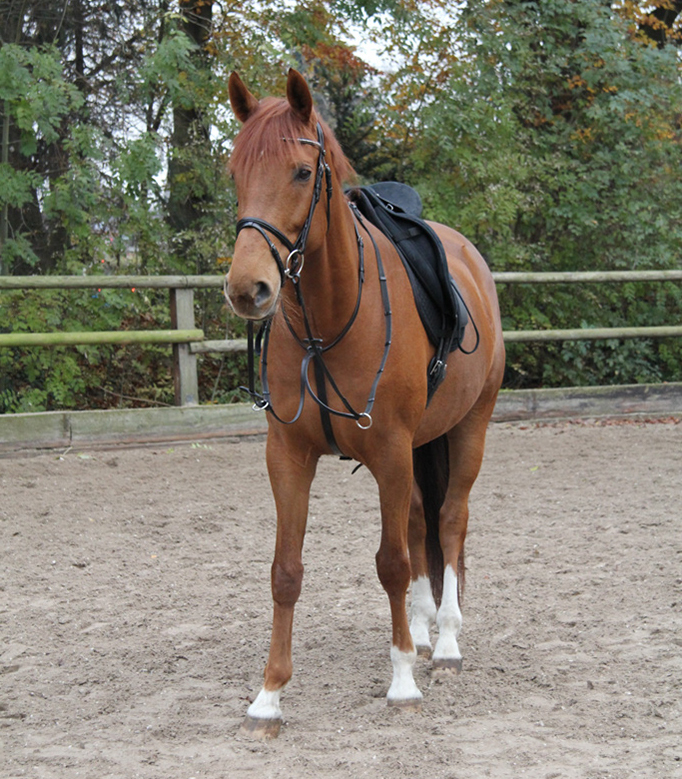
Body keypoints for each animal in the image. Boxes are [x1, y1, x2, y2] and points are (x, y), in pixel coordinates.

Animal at [224, 69, 505, 739]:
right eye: (235, 173)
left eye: (302, 173)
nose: (248, 289)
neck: (327, 321)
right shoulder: (289, 456)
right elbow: (286, 572)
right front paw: (268, 696)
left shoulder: (390, 451)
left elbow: (392, 564)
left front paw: (401, 681)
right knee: (421, 521)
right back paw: (425, 630)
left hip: (469, 430)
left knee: (449, 521)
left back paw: (445, 642)